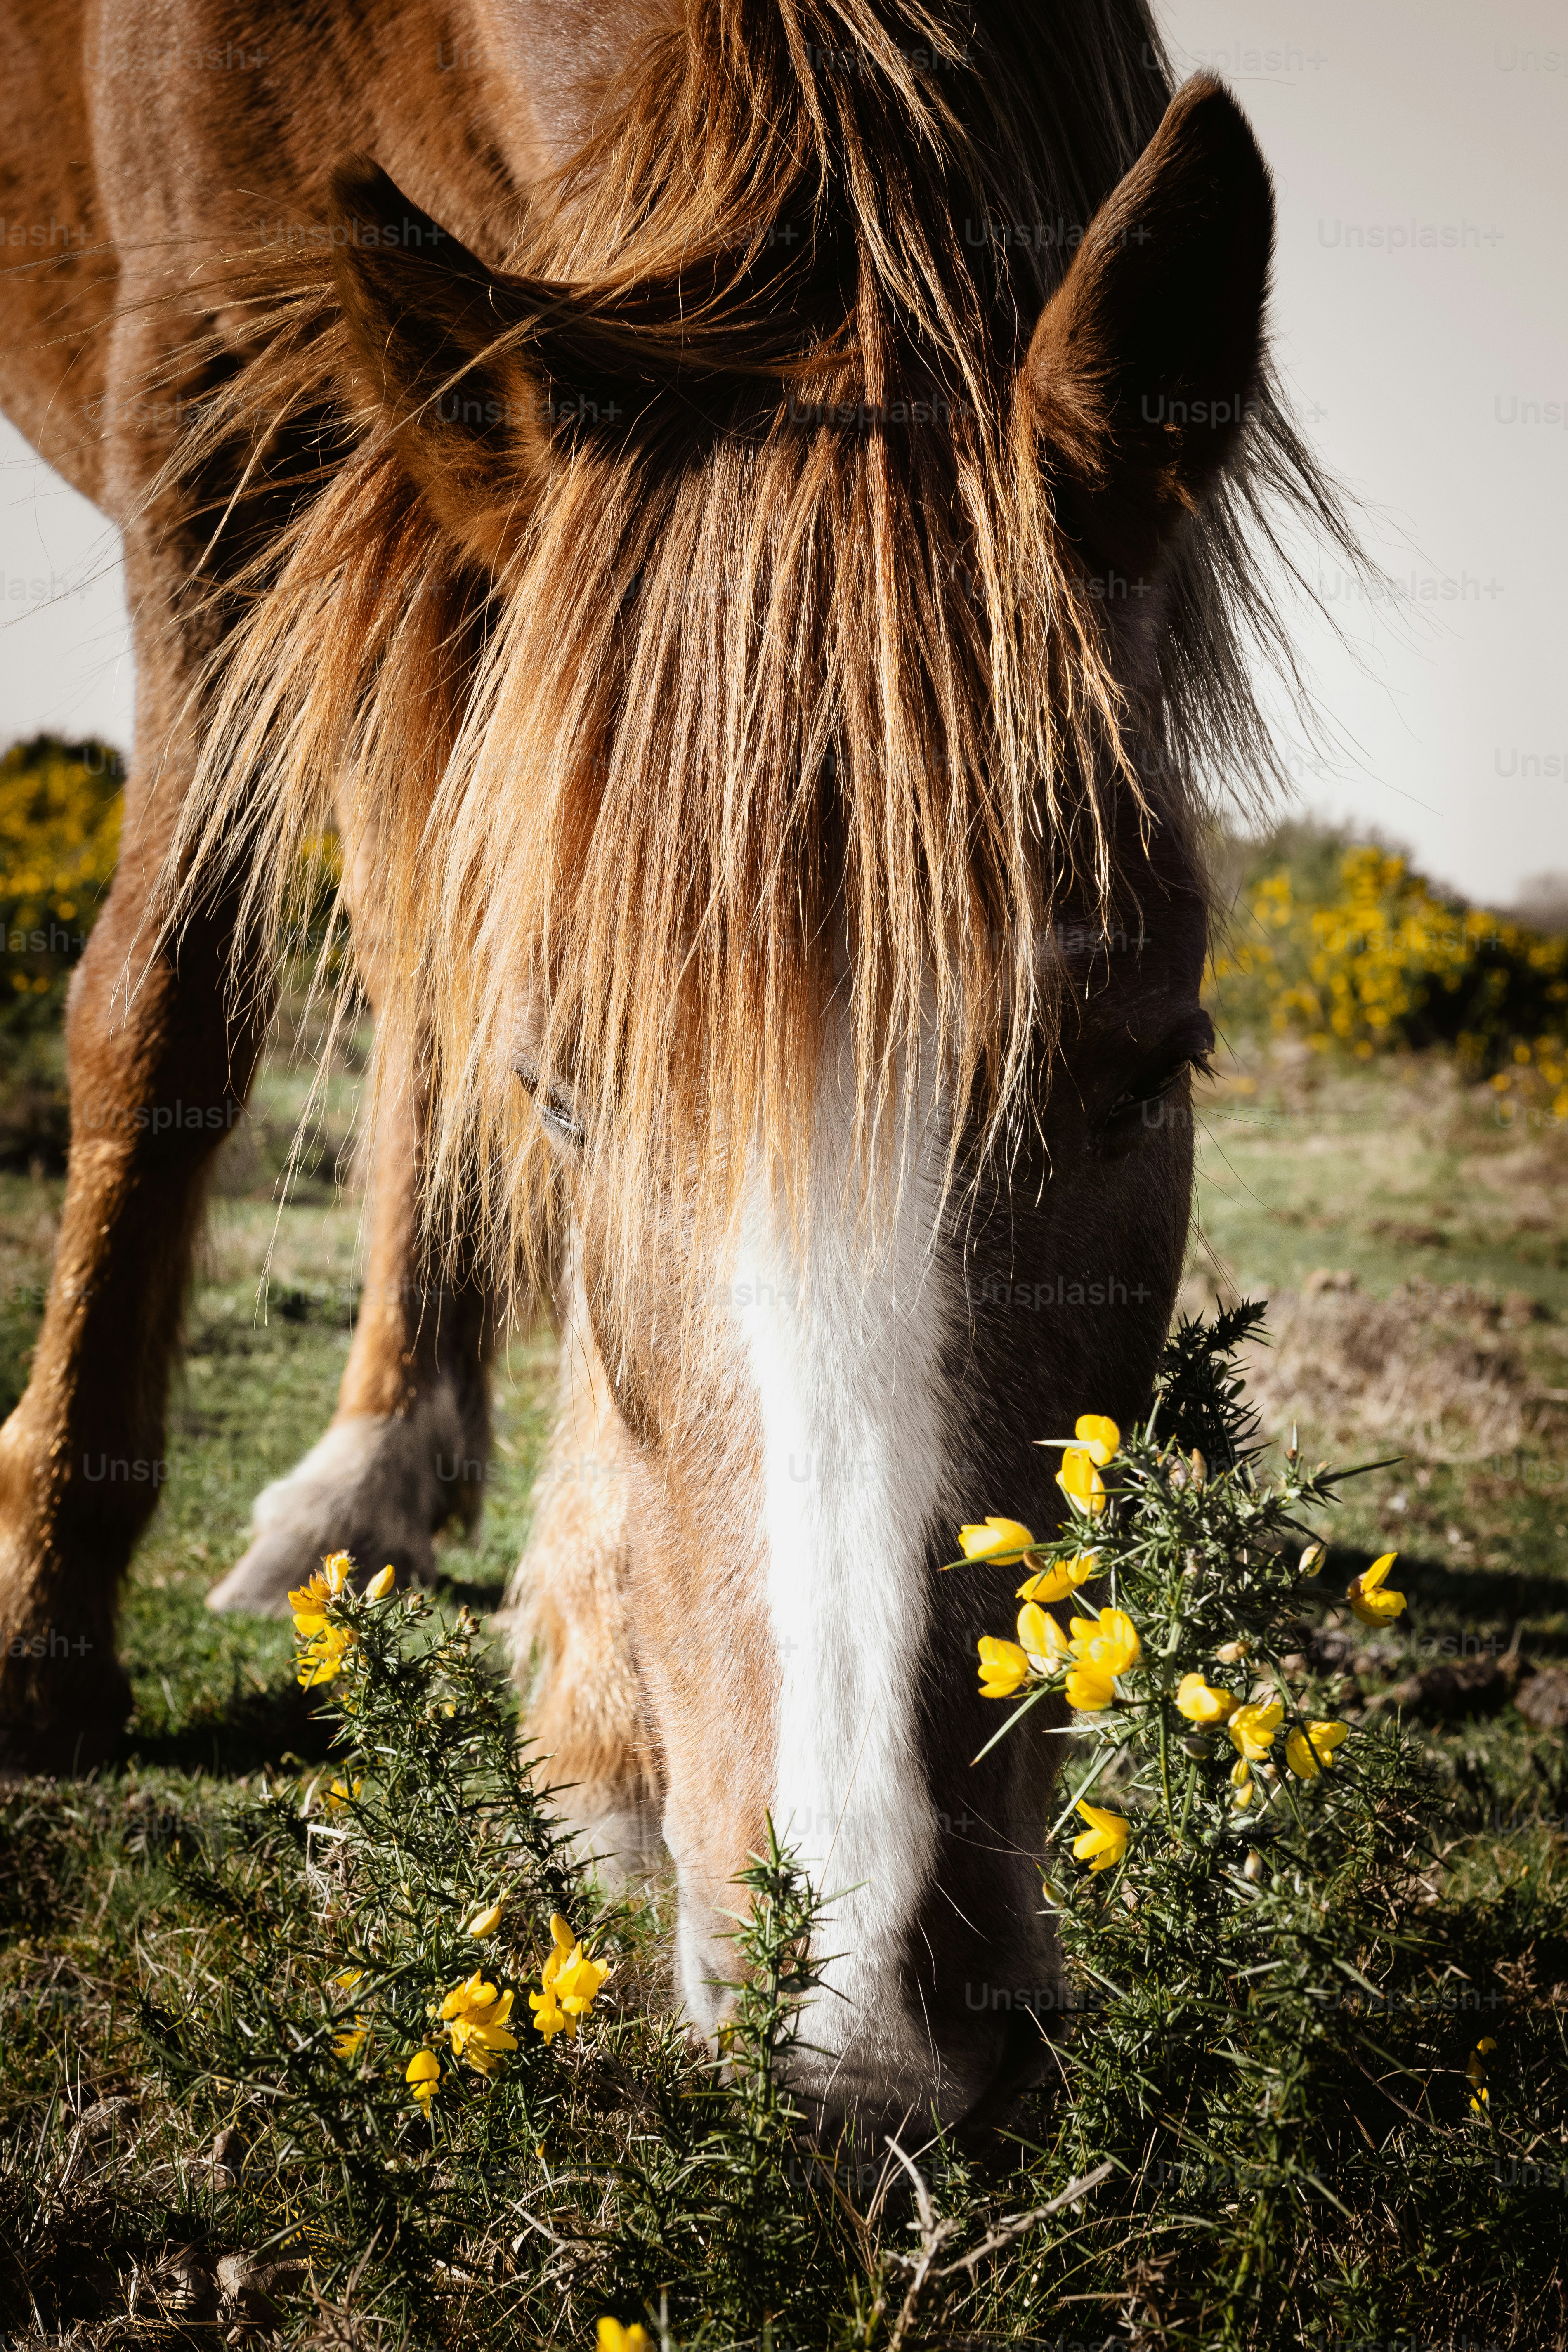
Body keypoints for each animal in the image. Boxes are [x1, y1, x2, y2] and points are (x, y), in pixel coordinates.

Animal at [0, 0, 1351, 2132]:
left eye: (1159, 1065)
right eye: (570, 1094)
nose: (874, 2041)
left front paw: (588, 1715)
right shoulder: (213, 424)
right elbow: (169, 998)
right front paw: (46, 1623)